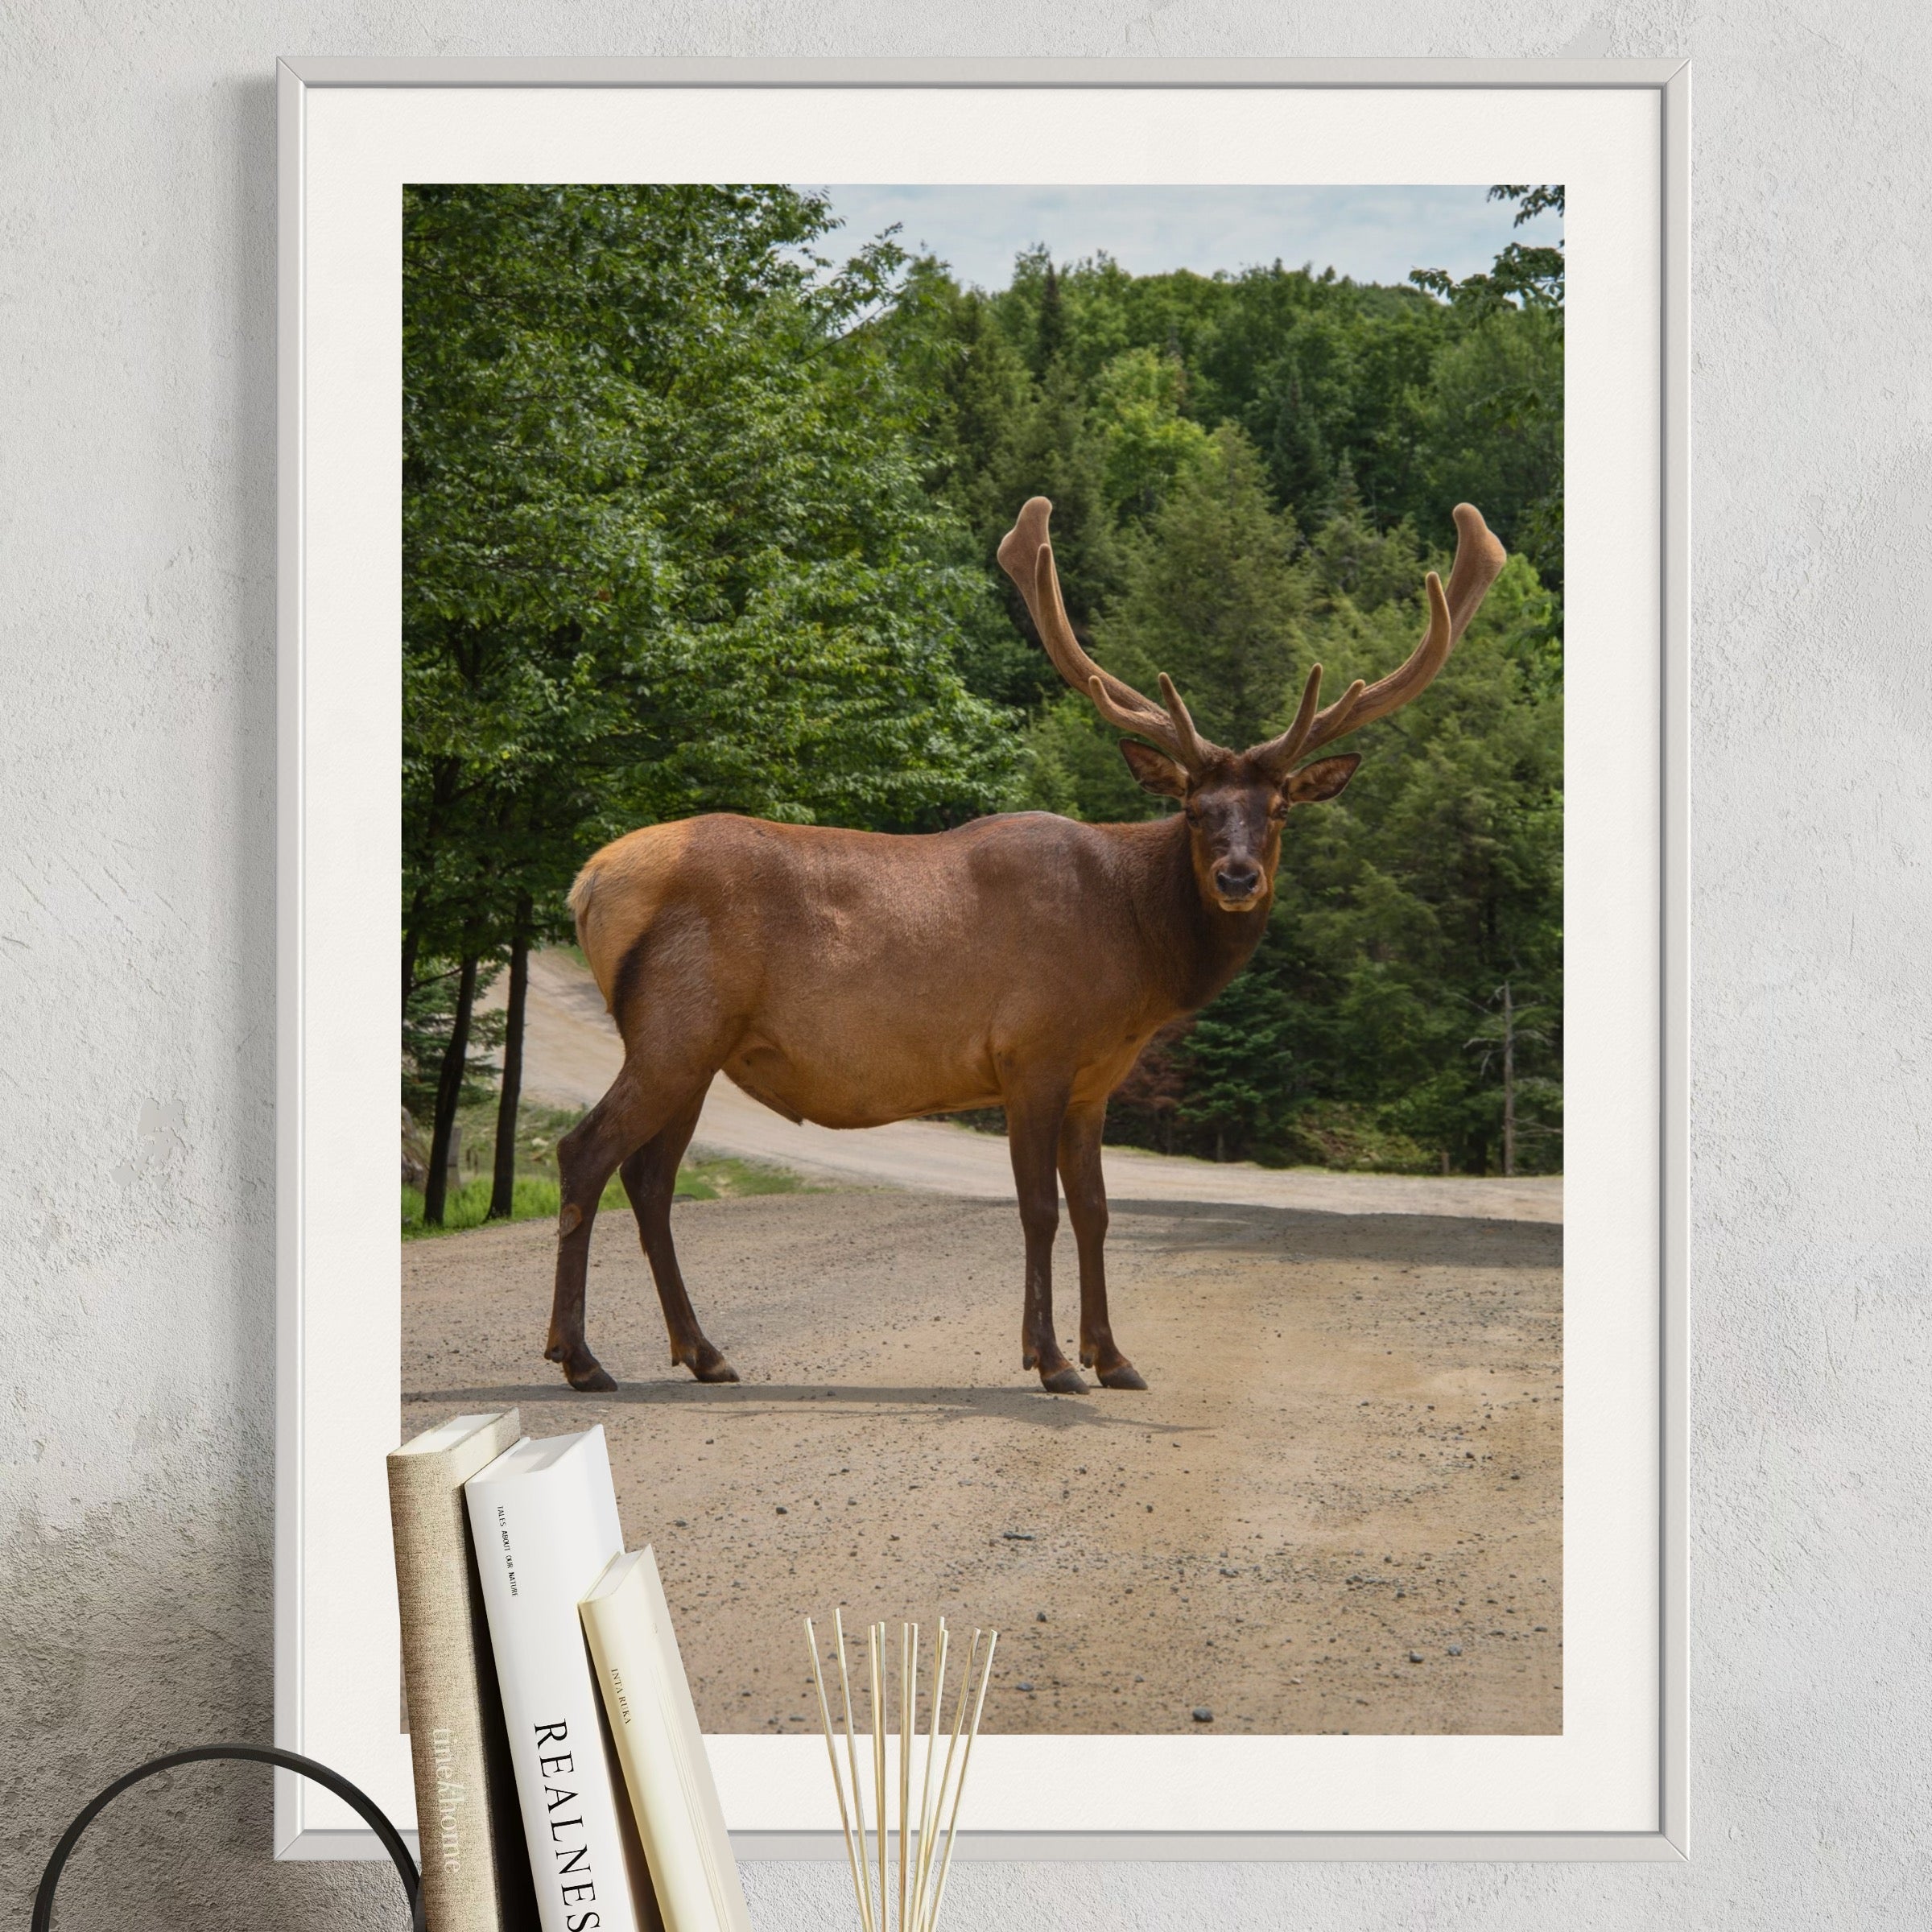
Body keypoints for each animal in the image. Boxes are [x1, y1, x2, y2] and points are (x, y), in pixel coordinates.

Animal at [546, 496, 1506, 1395]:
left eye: (1277, 811)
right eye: (1194, 808)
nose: (1237, 877)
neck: (1138, 960)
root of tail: (588, 882)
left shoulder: (1095, 1081)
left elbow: (1096, 1209)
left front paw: (1115, 1355)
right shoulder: (1030, 1051)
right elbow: (1039, 1209)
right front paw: (1050, 1360)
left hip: (699, 1046)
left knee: (651, 1178)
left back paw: (704, 1353)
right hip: (676, 1025)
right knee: (586, 1152)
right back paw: (580, 1356)